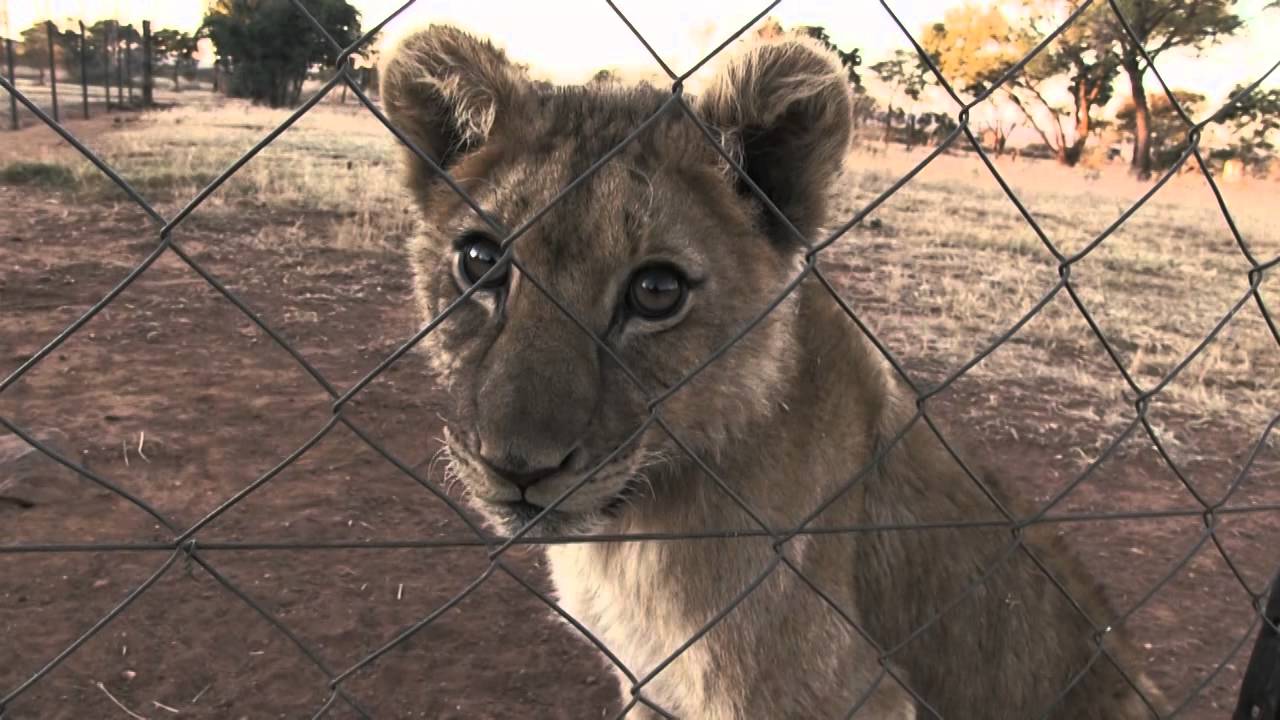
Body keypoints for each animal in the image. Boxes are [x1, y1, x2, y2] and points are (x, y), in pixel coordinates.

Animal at [380, 25, 1163, 719]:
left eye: (656, 291)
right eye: (480, 261)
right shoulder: (650, 688)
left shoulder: (847, 696)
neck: (629, 534)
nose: (516, 466)